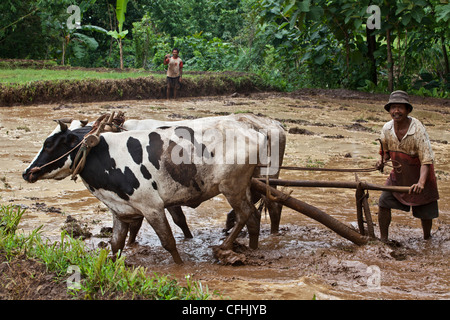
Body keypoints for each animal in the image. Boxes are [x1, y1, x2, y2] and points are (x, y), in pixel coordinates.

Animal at [22, 115, 284, 262]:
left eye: (49, 144)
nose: (27, 173)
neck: (102, 154)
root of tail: (256, 131)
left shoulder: (152, 207)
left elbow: (169, 241)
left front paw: (180, 265)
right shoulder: (120, 210)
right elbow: (116, 244)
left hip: (232, 187)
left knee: (249, 214)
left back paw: (228, 248)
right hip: (245, 186)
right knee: (255, 216)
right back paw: (250, 248)